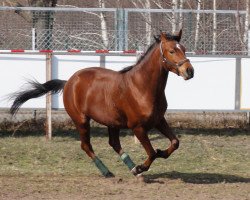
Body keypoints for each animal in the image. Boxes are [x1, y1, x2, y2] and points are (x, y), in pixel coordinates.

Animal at [9, 29, 193, 177]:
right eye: (171, 51)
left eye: (183, 49)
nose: (189, 71)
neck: (142, 87)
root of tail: (69, 82)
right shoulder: (138, 127)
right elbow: (152, 153)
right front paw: (141, 167)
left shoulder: (158, 120)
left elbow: (175, 143)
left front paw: (160, 153)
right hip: (81, 120)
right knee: (86, 146)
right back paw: (108, 171)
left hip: (113, 123)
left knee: (114, 143)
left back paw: (130, 166)